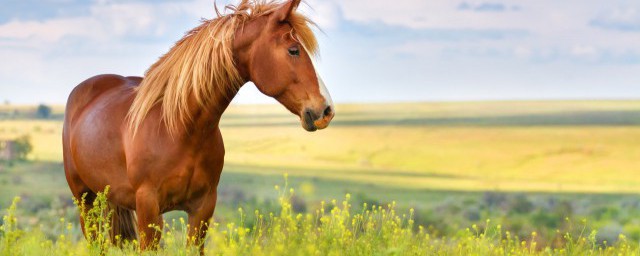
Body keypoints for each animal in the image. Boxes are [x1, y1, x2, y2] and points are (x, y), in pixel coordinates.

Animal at [62, 0, 336, 252]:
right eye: (293, 50)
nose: (326, 110)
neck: (179, 129)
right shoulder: (148, 208)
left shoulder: (202, 209)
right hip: (85, 201)